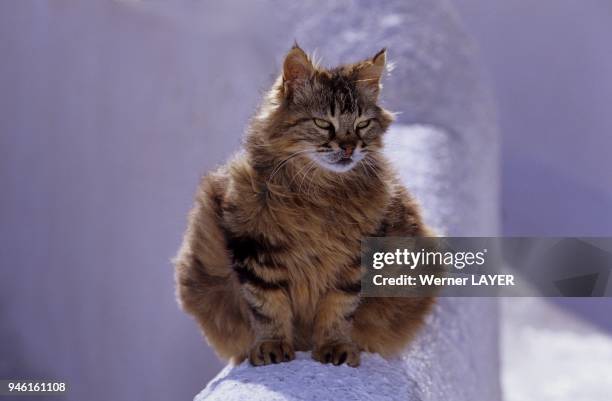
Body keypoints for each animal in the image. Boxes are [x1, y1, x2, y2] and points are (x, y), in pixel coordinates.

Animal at [175, 44, 432, 366]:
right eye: (323, 124)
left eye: (362, 125)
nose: (349, 148)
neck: (320, 195)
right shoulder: (256, 251)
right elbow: (268, 309)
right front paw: (272, 347)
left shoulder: (352, 263)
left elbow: (338, 310)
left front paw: (335, 348)